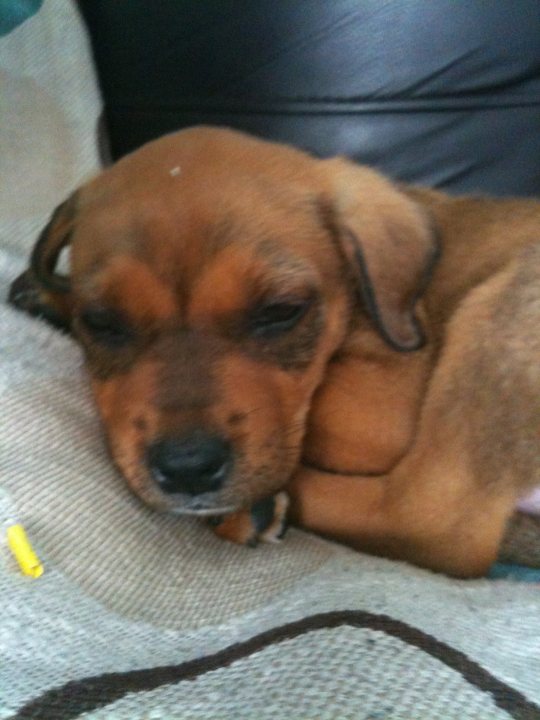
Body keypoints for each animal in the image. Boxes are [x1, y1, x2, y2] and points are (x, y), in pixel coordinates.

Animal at [9, 126, 540, 576]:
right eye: (103, 323)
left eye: (281, 312)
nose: (188, 470)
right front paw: (49, 295)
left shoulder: (380, 404)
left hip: (497, 316)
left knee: (428, 519)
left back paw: (251, 510)